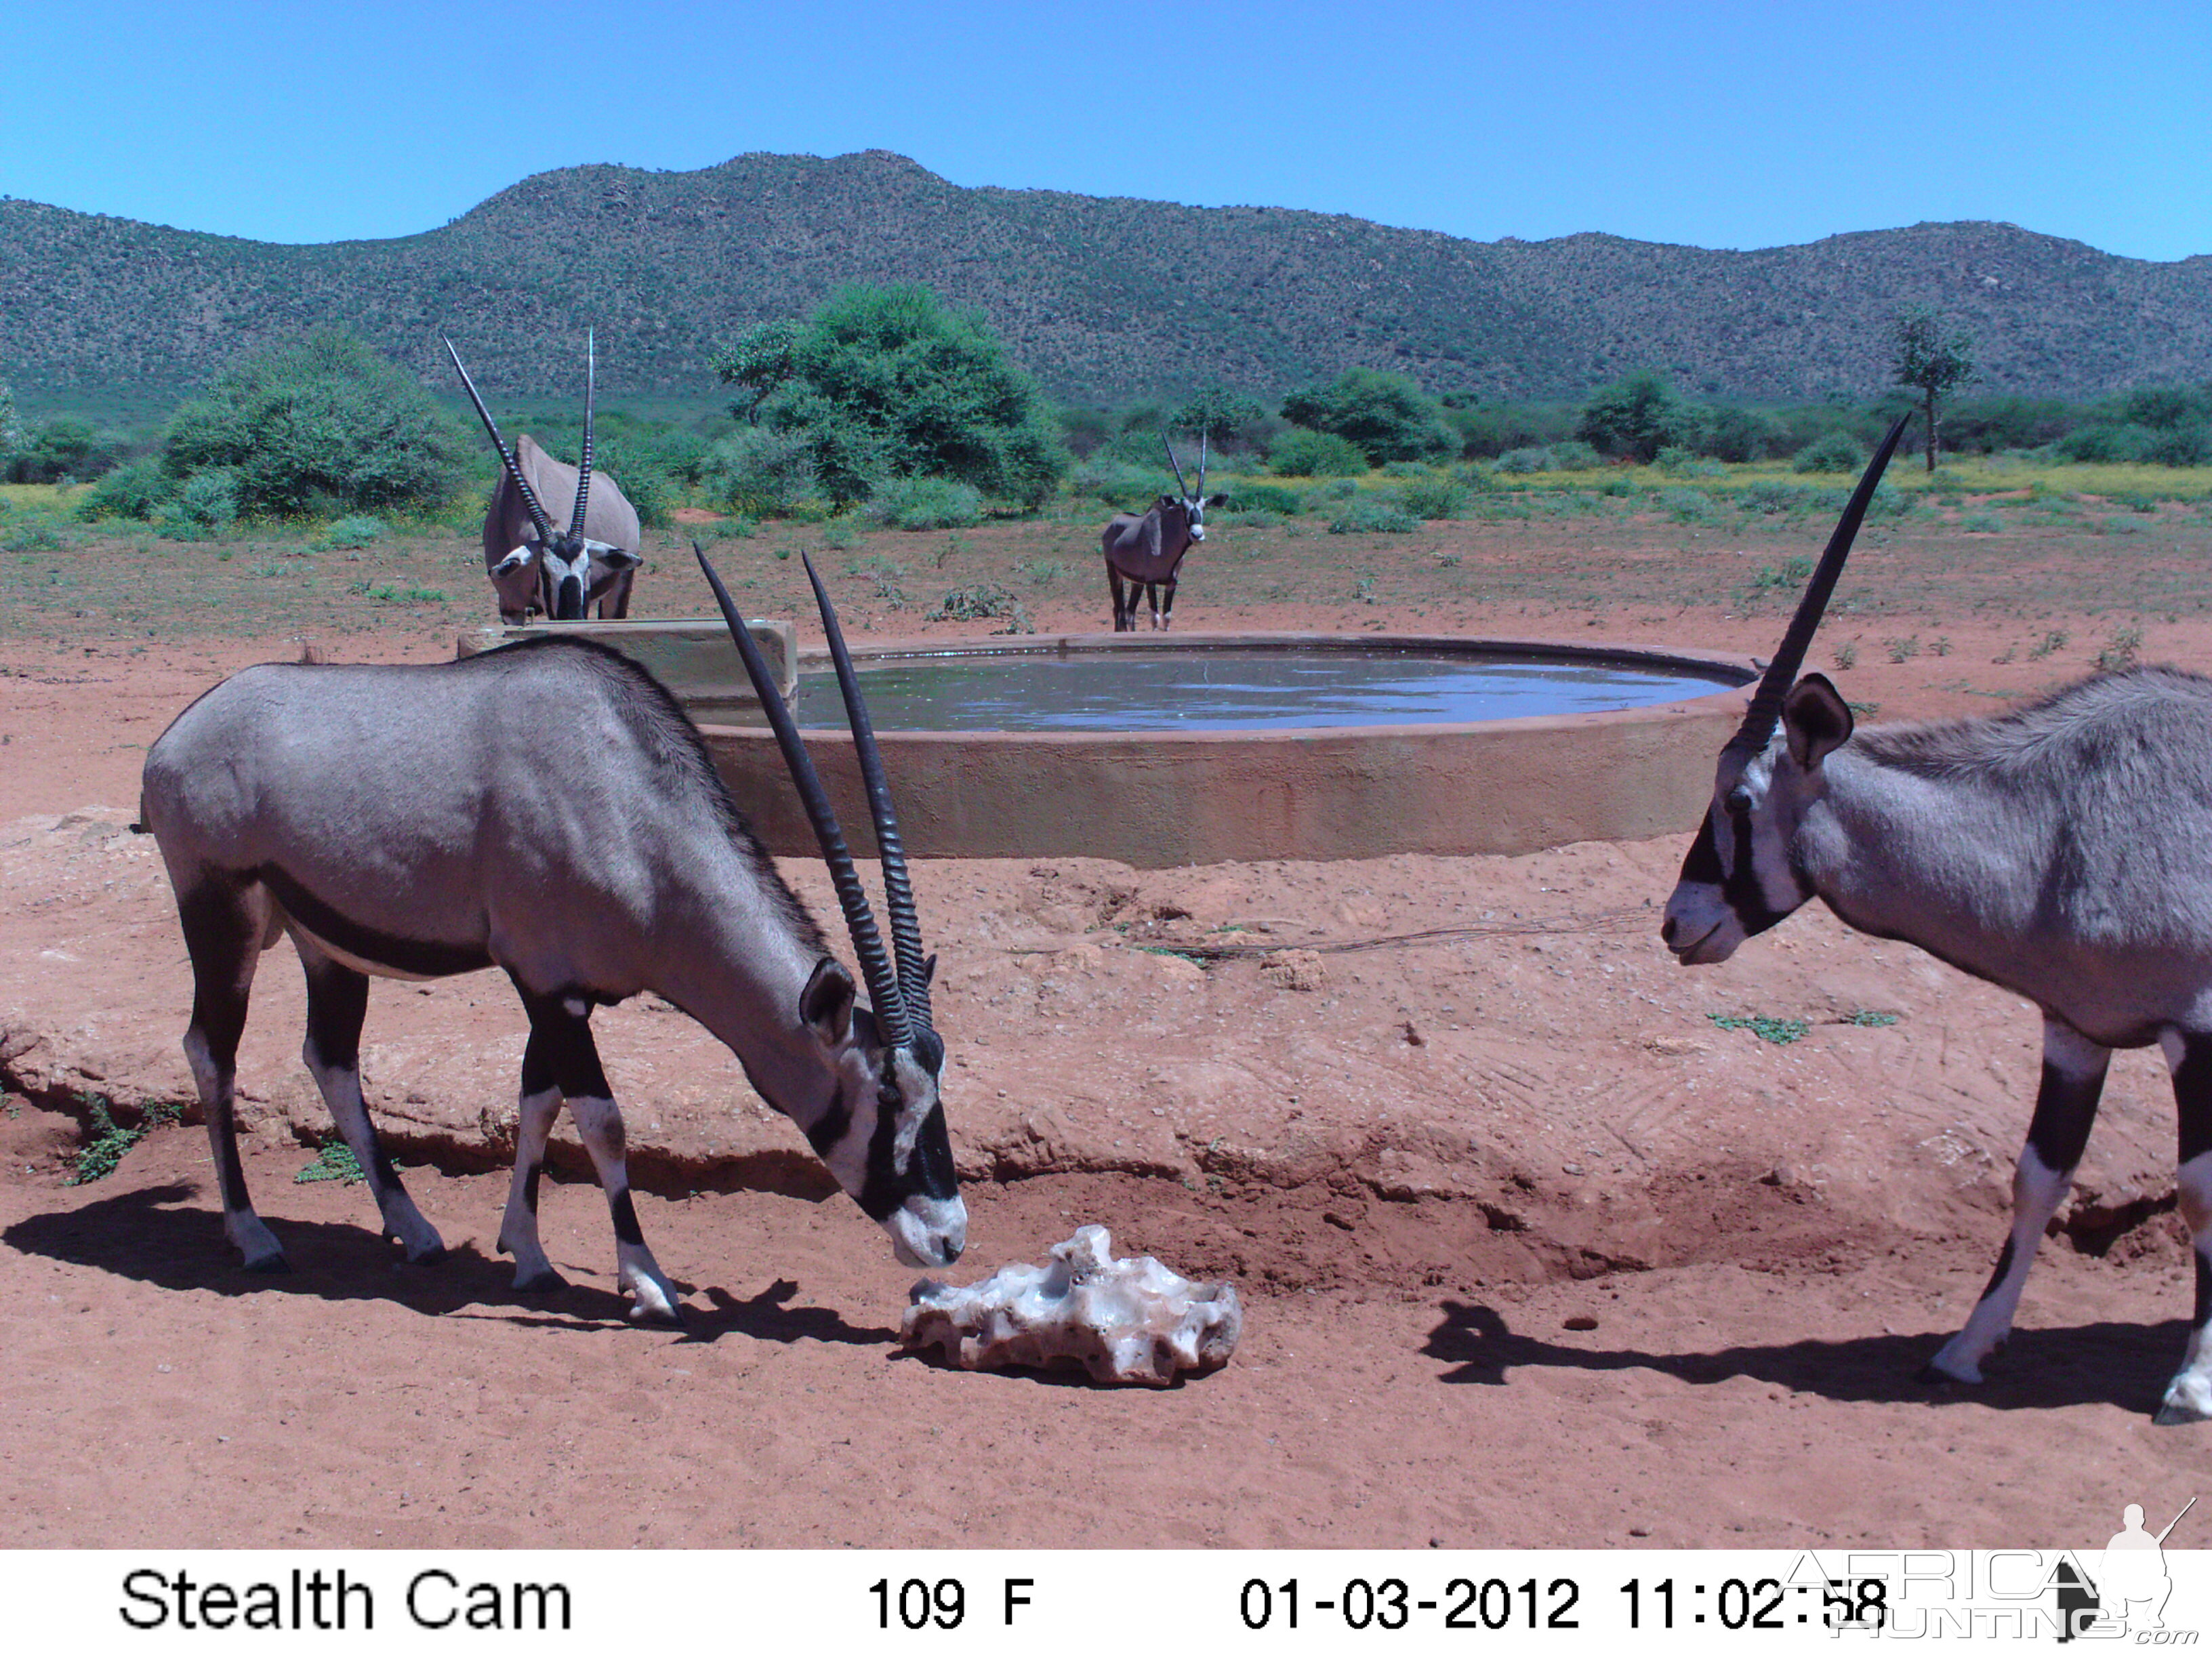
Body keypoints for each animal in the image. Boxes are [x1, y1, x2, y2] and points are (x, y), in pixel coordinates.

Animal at [140, 553, 960, 1318]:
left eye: (936, 1084)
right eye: (885, 1096)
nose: (949, 1239)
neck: (628, 801)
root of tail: (175, 736)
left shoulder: (569, 992)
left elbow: (538, 1100)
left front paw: (527, 1253)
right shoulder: (544, 981)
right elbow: (602, 1121)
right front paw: (645, 1279)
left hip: (328, 944)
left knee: (330, 1058)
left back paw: (415, 1229)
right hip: (222, 916)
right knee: (212, 1052)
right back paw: (253, 1236)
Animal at [1101, 431, 1229, 632]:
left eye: (1204, 507)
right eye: (1183, 508)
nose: (1197, 535)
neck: (1165, 542)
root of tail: (1114, 523)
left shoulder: (1171, 584)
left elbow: (1167, 617)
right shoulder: (1151, 582)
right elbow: (1154, 618)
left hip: (1136, 582)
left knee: (1129, 611)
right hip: (1114, 573)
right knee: (1119, 610)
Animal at [1663, 415, 2212, 1433]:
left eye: (1741, 802)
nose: (1678, 924)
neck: (2061, 820)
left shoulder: (2197, 1030)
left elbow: (2200, 1192)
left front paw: (2194, 1382)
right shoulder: (2077, 1029)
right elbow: (2037, 1178)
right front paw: (1963, 1351)